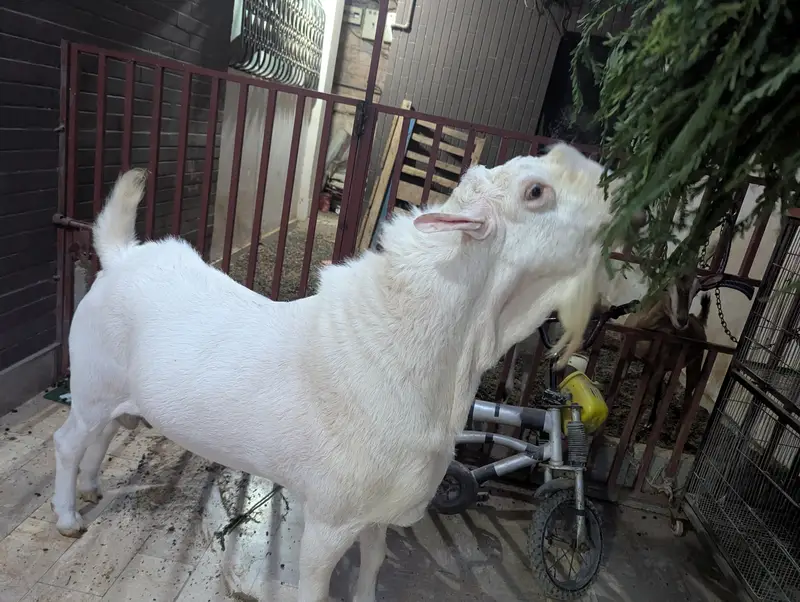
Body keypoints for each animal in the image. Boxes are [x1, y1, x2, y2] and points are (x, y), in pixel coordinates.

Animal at [52, 144, 625, 602]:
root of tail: (120, 256)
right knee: (68, 440)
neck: (403, 354)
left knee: (102, 432)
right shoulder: (329, 518)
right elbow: (314, 584)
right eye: (536, 192)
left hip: (113, 391)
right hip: (91, 379)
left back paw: (92, 487)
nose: (613, 190)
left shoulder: (378, 510)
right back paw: (67, 516)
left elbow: (373, 563)